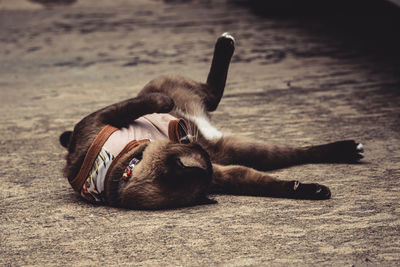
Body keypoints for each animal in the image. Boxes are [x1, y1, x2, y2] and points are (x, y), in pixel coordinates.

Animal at [58, 32, 362, 210]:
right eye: (195, 152)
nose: (187, 137)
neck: (121, 170)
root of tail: (205, 130)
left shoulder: (98, 120)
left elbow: (149, 101)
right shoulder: (222, 174)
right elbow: (264, 183)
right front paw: (310, 190)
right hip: (238, 151)